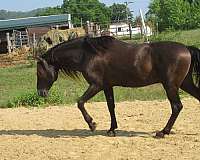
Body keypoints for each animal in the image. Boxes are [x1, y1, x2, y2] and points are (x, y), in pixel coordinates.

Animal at [36, 36, 200, 138]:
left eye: (39, 72)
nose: (40, 92)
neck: (88, 54)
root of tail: (186, 48)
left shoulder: (96, 85)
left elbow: (80, 102)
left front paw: (92, 124)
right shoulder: (107, 86)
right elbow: (111, 106)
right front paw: (111, 129)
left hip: (171, 86)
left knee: (176, 106)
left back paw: (163, 132)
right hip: (185, 83)